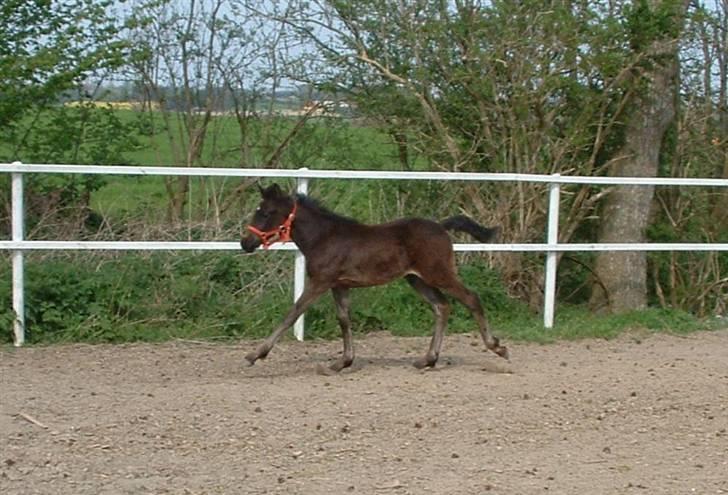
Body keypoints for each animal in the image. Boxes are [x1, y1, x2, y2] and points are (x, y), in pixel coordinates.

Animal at [242, 185, 510, 372]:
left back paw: (497, 347)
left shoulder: (320, 282)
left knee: (471, 298)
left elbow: (293, 313)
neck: (324, 238)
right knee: (442, 306)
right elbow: (344, 319)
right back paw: (428, 359)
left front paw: (256, 354)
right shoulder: (339, 285)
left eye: (266, 213)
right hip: (417, 279)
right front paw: (343, 362)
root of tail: (442, 227)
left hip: (438, 273)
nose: (246, 242)